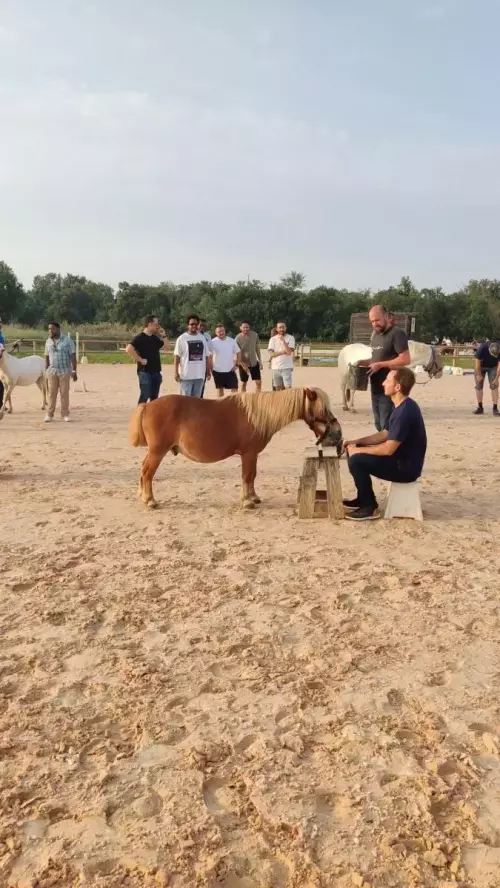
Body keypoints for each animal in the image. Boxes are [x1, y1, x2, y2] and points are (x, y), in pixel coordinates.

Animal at [128, 386, 344, 510]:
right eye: (324, 409)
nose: (338, 433)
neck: (258, 415)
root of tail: (147, 406)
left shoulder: (253, 455)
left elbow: (253, 475)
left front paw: (254, 497)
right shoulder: (248, 454)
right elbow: (247, 476)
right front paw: (247, 501)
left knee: (143, 470)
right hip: (158, 451)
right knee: (147, 472)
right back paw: (150, 500)